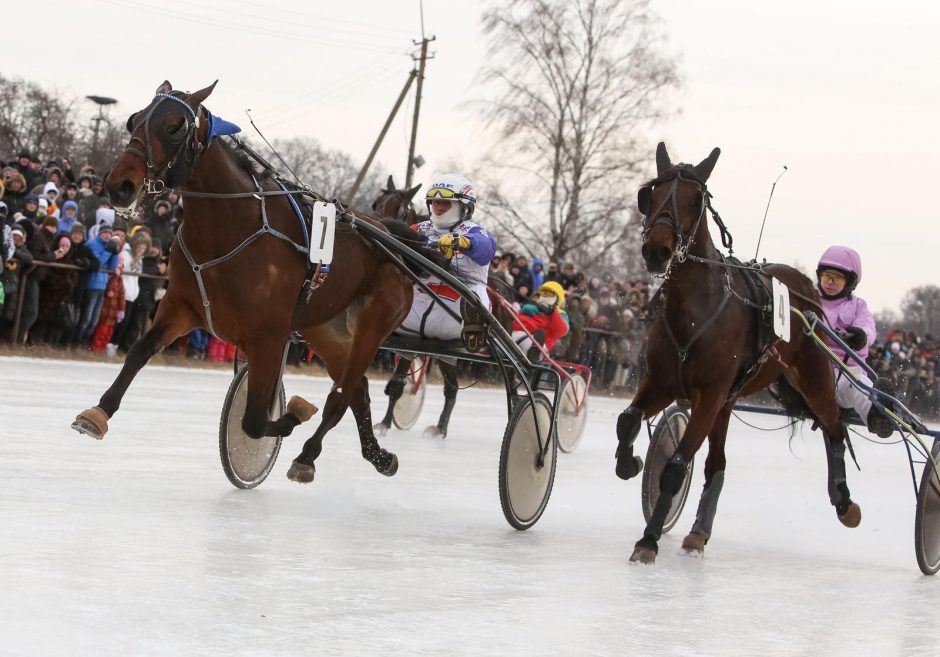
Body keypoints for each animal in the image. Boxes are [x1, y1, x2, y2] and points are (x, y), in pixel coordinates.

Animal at [75, 80, 420, 482]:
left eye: (175, 126)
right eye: (134, 120)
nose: (119, 185)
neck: (231, 226)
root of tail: (392, 239)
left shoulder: (268, 336)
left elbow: (255, 420)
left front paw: (291, 414)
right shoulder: (182, 306)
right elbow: (139, 351)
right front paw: (99, 411)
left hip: (374, 323)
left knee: (341, 394)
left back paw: (308, 455)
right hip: (328, 330)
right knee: (358, 389)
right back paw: (376, 455)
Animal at [612, 142, 864, 564]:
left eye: (694, 198)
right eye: (652, 193)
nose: (657, 250)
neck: (694, 313)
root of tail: (808, 293)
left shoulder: (709, 395)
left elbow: (675, 467)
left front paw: (648, 540)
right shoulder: (662, 382)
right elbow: (627, 421)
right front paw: (630, 462)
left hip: (812, 376)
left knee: (835, 428)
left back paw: (844, 502)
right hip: (730, 402)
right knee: (717, 464)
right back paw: (698, 532)